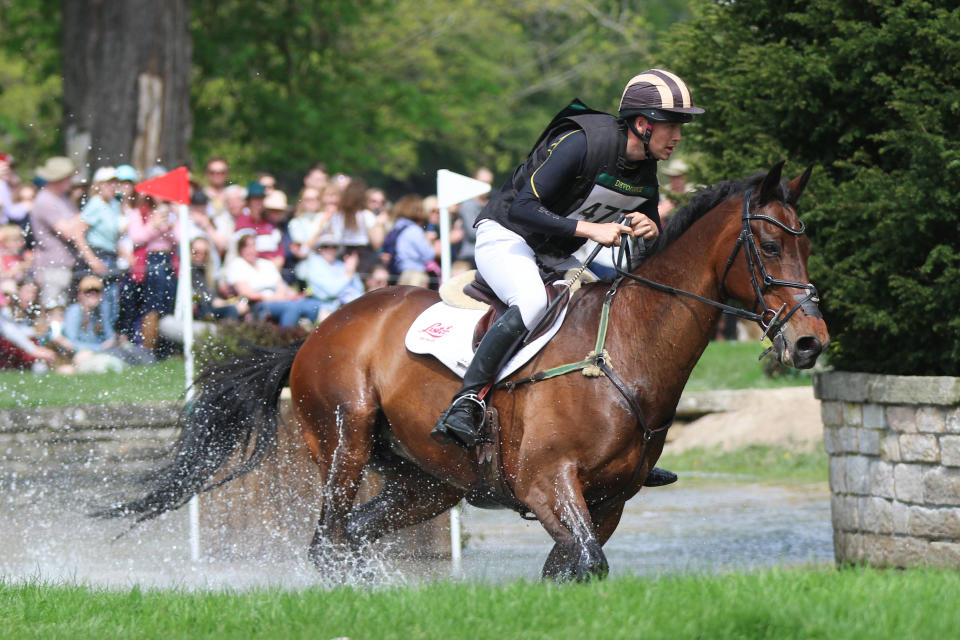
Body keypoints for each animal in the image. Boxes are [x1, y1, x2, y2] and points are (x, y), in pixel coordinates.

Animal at [103, 162, 824, 584]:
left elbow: (574, 566)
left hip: (426, 482)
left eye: (807, 243)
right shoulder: (547, 482)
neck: (622, 352)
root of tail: (315, 333)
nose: (811, 342)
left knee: (355, 535)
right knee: (327, 541)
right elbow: (585, 561)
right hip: (344, 439)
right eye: (767, 245)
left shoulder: (609, 501)